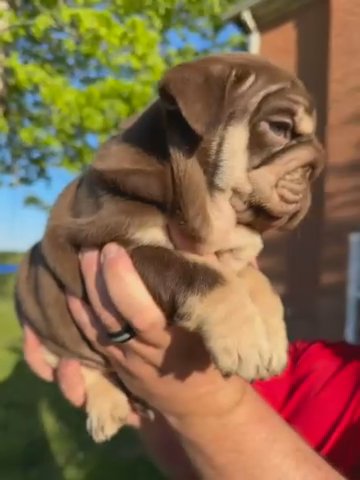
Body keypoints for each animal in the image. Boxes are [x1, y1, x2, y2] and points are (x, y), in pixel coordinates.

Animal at [14, 52, 324, 442]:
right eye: (279, 128)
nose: (317, 164)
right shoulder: (113, 245)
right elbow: (196, 272)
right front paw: (246, 339)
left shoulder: (229, 257)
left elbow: (258, 283)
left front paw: (271, 334)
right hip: (38, 309)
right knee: (81, 364)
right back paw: (106, 407)